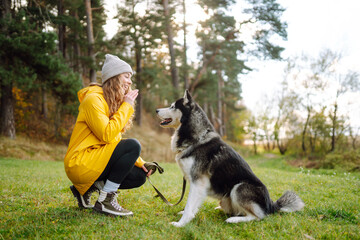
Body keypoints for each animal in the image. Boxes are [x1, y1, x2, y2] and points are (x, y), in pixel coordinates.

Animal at [156, 89, 306, 227]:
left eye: (172, 106)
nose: (156, 110)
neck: (197, 138)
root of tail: (270, 205)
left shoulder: (198, 182)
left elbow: (189, 205)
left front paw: (180, 223)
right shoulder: (198, 184)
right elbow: (193, 205)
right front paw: (188, 216)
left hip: (239, 187)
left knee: (257, 216)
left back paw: (234, 219)